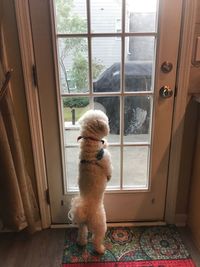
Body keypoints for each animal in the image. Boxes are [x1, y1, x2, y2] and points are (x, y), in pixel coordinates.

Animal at [68, 109, 112, 255]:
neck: (90, 141)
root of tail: (85, 212)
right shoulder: (106, 159)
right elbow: (109, 170)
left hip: (82, 225)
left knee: (82, 233)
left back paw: (81, 243)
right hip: (101, 224)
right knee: (96, 239)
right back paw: (100, 250)